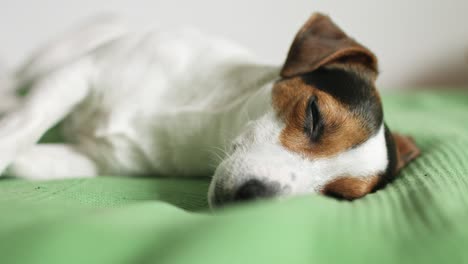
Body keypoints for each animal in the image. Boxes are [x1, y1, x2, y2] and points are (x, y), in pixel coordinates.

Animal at [0, 12, 420, 206]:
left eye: (338, 196)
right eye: (315, 115)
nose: (255, 197)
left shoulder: (91, 160)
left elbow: (22, 160)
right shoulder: (78, 75)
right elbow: (21, 127)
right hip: (54, 59)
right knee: (18, 85)